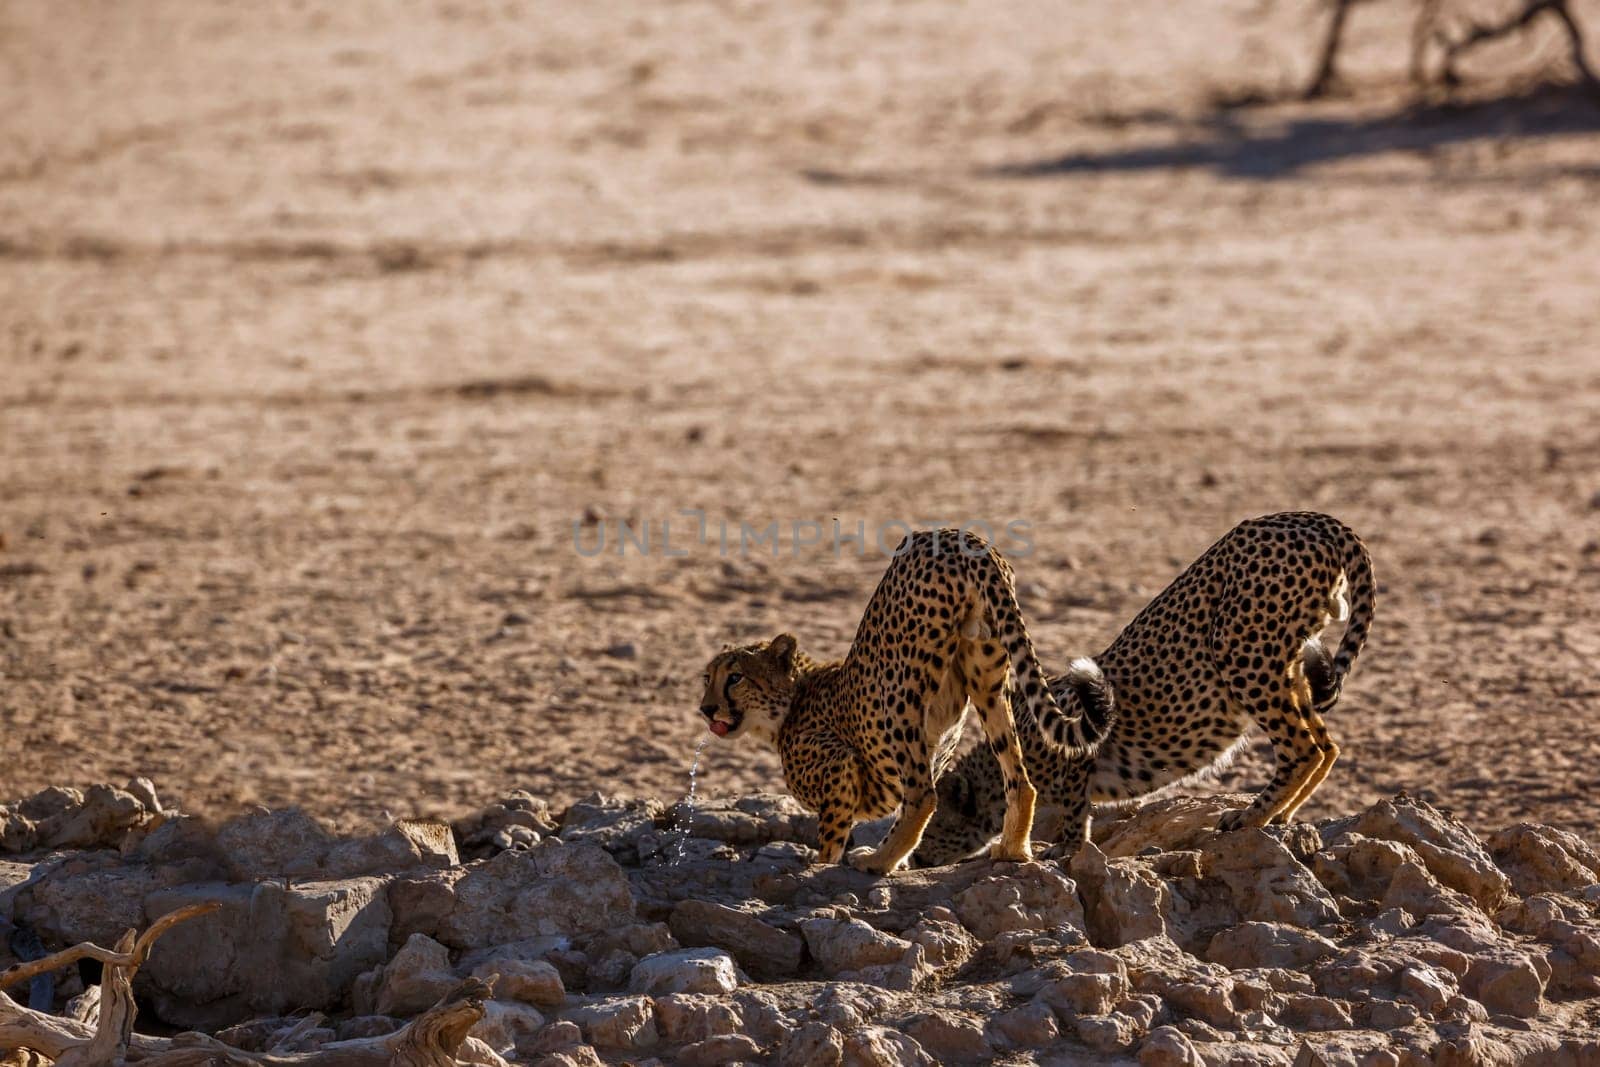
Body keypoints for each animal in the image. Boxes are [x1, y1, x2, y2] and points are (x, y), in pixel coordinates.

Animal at [694, 527, 1120, 876]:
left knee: (922, 796)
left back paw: (876, 862)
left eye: (735, 677)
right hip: (987, 678)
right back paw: (1012, 850)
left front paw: (832, 865)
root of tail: (960, 537)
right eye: (707, 678)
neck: (788, 705)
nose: (705, 708)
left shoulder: (839, 767)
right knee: (1019, 779)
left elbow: (831, 838)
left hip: (900, 694)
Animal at [915, 511, 1376, 870]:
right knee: (1326, 743)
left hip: (1240, 647)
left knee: (1303, 747)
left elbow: (1073, 806)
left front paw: (1065, 846)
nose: (915, 858)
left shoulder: (1075, 735)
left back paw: (1250, 816)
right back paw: (1284, 814)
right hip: (1286, 658)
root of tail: (1312, 518)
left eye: (932, 828)